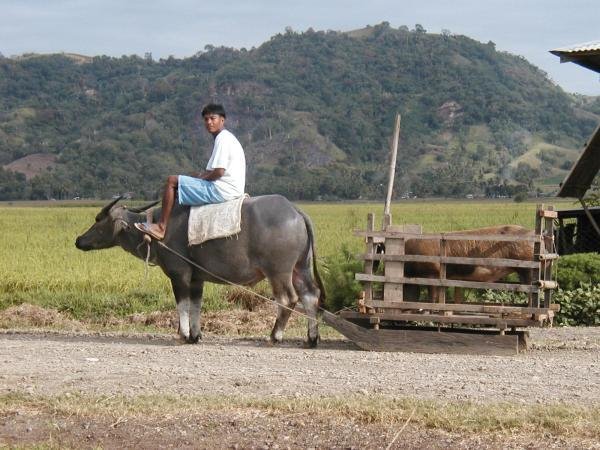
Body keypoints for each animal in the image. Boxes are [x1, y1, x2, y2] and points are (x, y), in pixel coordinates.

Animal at [78, 195, 328, 346]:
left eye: (99, 220)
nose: (79, 240)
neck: (156, 228)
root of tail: (295, 211)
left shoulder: (179, 274)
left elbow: (182, 304)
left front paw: (183, 334)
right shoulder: (197, 279)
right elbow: (196, 305)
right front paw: (196, 335)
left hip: (278, 271)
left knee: (287, 299)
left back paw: (275, 336)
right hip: (301, 267)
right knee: (310, 296)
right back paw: (312, 337)